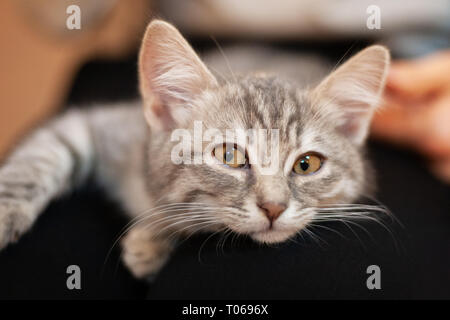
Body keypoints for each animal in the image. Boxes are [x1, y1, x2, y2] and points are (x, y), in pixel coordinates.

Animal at [0, 21, 388, 278]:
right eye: (230, 156)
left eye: (307, 164)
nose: (274, 208)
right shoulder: (102, 127)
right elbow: (41, 157)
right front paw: (5, 211)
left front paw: (154, 239)